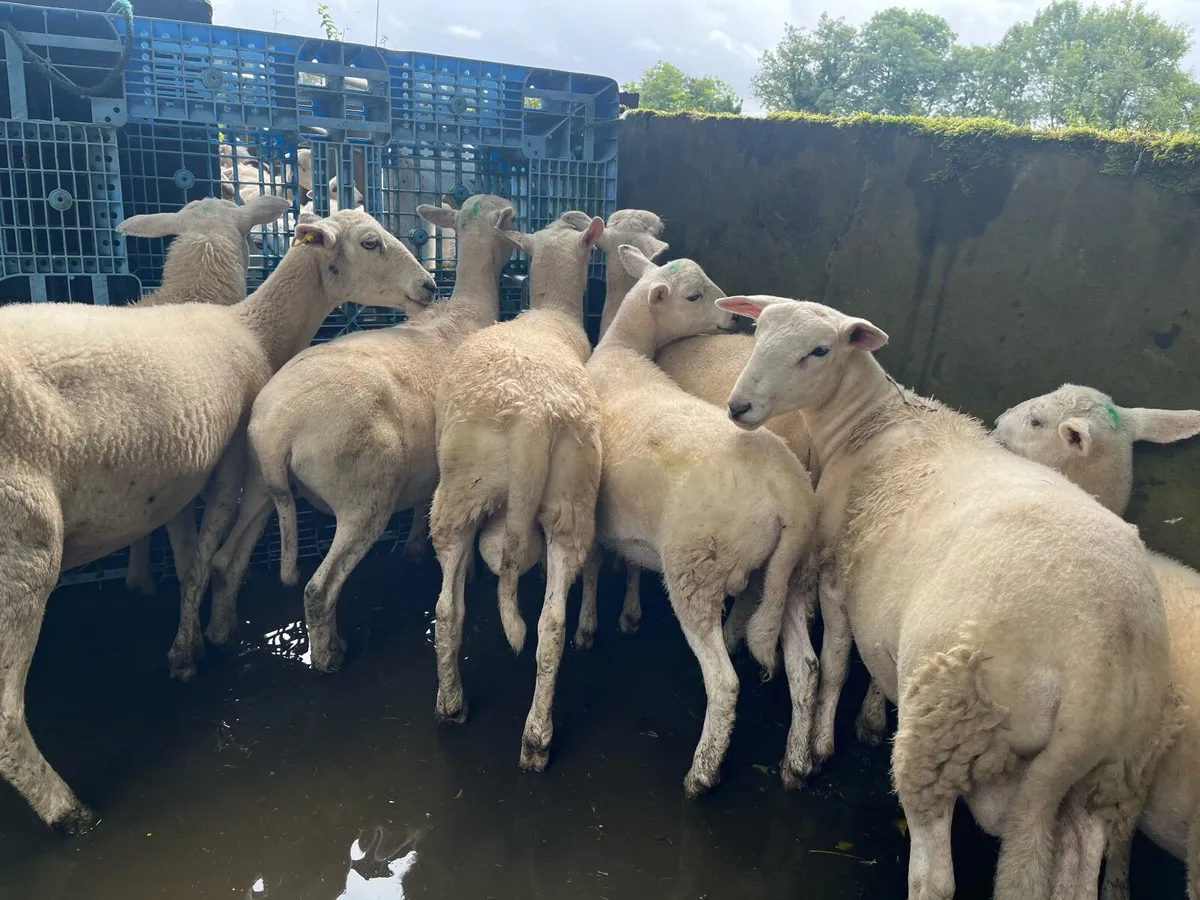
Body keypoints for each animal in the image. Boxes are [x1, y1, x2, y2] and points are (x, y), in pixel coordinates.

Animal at [0, 200, 435, 833]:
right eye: (371, 243)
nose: (429, 286)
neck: (252, 326)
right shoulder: (230, 468)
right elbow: (213, 559)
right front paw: (199, 644)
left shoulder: (173, 485)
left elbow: (190, 560)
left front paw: (198, 631)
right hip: (23, 548)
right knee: (8, 717)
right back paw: (68, 811)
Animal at [205, 195, 518, 669]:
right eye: (371, 243)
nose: (429, 286)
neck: (466, 312)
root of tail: (280, 430)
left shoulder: (433, 467)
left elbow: (423, 506)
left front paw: (413, 547)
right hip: (364, 497)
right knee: (319, 589)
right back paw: (329, 655)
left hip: (260, 484)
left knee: (227, 562)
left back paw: (221, 634)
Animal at [430, 210, 605, 772]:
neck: (549, 312)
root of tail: (533, 415)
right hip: (569, 504)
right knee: (547, 629)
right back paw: (532, 737)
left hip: (461, 492)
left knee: (448, 610)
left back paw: (458, 708)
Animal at [586, 249, 819, 798]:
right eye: (694, 296)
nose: (734, 318)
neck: (621, 352)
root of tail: (790, 497)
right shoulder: (630, 521)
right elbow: (631, 563)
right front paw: (629, 612)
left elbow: (593, 571)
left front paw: (593, 624)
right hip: (786, 574)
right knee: (804, 666)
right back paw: (796, 765)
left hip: (698, 566)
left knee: (725, 682)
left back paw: (703, 771)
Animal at [718, 294, 1176, 900]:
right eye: (759, 330)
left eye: (818, 350)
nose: (739, 406)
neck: (873, 422)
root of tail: (1098, 664)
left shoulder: (838, 573)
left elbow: (837, 663)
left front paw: (818, 747)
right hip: (1109, 773)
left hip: (948, 721)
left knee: (935, 873)